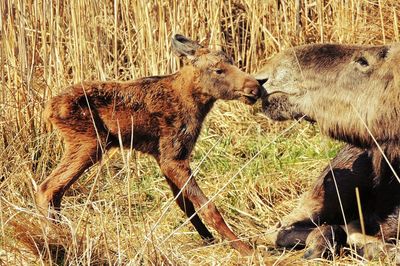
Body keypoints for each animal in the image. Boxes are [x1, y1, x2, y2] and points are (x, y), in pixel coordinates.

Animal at [38, 34, 262, 255]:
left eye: (232, 61)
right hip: (90, 142)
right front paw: (245, 249)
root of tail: (48, 110)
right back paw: (59, 238)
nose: (256, 88)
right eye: (218, 70)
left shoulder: (163, 158)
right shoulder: (173, 156)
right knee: (48, 187)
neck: (196, 105)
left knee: (53, 189)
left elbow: (185, 205)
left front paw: (209, 239)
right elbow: (208, 206)